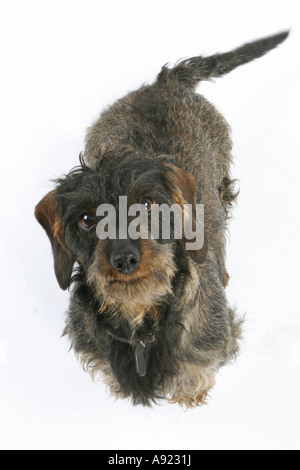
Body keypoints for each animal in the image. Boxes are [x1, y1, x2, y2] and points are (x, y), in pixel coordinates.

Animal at [34, 32, 288, 408]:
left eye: (148, 203)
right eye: (86, 219)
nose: (125, 258)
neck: (139, 319)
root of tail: (164, 83)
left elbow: (195, 374)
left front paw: (190, 395)